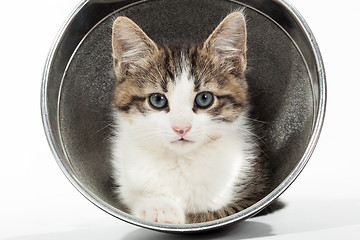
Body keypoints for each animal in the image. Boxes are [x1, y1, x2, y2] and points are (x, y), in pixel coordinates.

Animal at [109, 11, 272, 225]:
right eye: (157, 100)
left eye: (204, 99)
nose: (181, 128)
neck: (181, 161)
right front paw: (160, 208)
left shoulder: (254, 192)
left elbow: (211, 213)